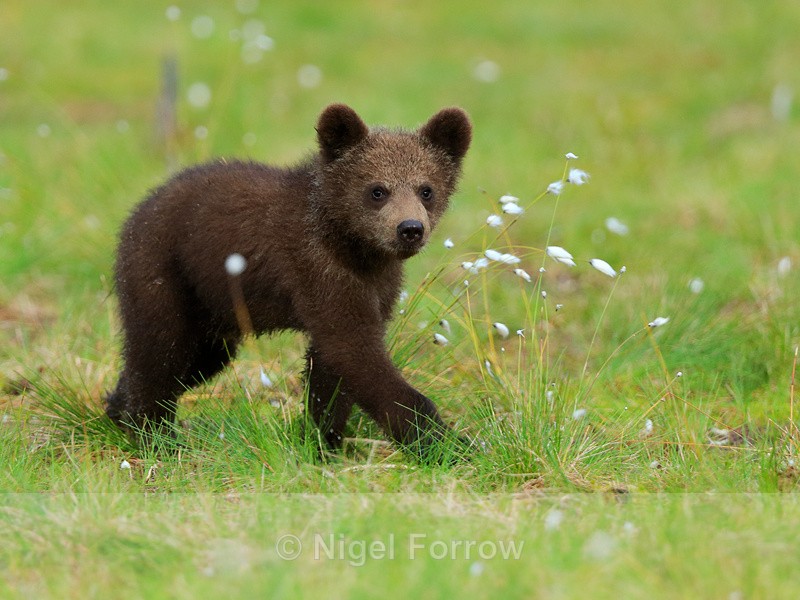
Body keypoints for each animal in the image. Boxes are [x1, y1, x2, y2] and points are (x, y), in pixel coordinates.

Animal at [106, 103, 472, 460]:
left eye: (426, 190)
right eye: (377, 190)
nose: (410, 228)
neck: (355, 250)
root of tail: (138, 210)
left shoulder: (374, 287)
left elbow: (330, 372)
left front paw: (322, 440)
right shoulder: (318, 270)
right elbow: (355, 353)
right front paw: (447, 443)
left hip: (212, 312)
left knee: (195, 361)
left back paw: (116, 408)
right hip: (163, 274)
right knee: (158, 353)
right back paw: (153, 437)